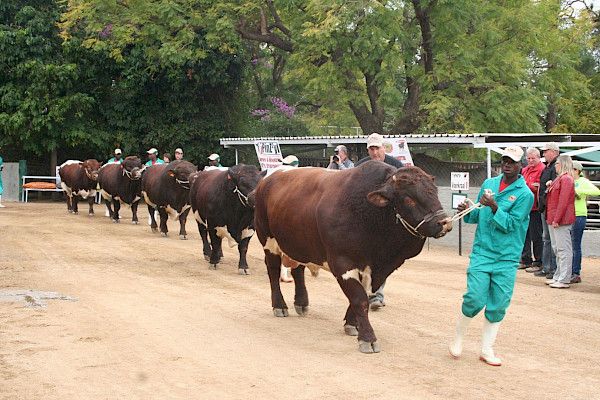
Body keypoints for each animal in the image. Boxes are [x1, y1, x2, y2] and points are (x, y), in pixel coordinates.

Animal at [251, 160, 452, 354]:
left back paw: (301, 302)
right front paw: (368, 338)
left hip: (299, 244)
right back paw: (280, 306)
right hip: (268, 240)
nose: (444, 222)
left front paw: (352, 324)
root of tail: (269, 177)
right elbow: (359, 299)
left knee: (298, 270)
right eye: (409, 199)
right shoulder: (343, 263)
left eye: (434, 191)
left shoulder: (372, 269)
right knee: (273, 272)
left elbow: (362, 296)